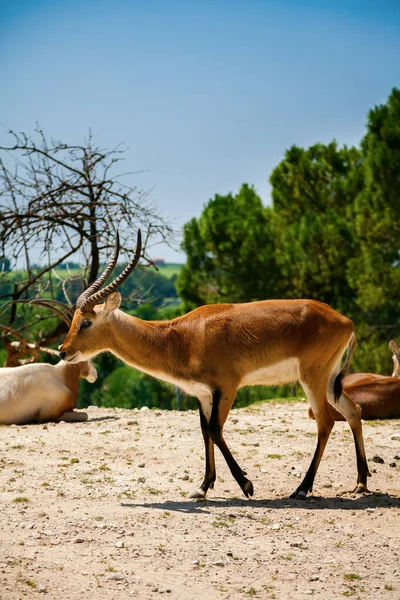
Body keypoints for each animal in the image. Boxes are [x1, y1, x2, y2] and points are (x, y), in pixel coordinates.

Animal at [58, 232, 368, 500]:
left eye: (86, 322)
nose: (63, 351)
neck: (180, 338)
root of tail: (345, 320)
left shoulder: (227, 387)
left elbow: (216, 430)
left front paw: (246, 485)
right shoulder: (203, 394)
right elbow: (205, 430)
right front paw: (203, 487)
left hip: (312, 379)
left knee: (326, 422)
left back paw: (302, 489)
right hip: (327, 381)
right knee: (354, 410)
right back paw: (361, 483)